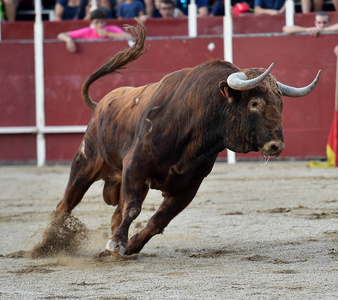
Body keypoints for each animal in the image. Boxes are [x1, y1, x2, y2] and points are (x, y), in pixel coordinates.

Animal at [55, 18, 320, 255]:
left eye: (281, 104)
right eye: (254, 103)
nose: (276, 145)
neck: (194, 124)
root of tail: (101, 104)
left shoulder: (189, 185)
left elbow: (159, 220)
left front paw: (131, 246)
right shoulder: (135, 166)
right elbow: (133, 209)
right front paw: (117, 243)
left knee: (114, 212)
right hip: (86, 161)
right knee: (67, 203)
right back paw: (51, 241)